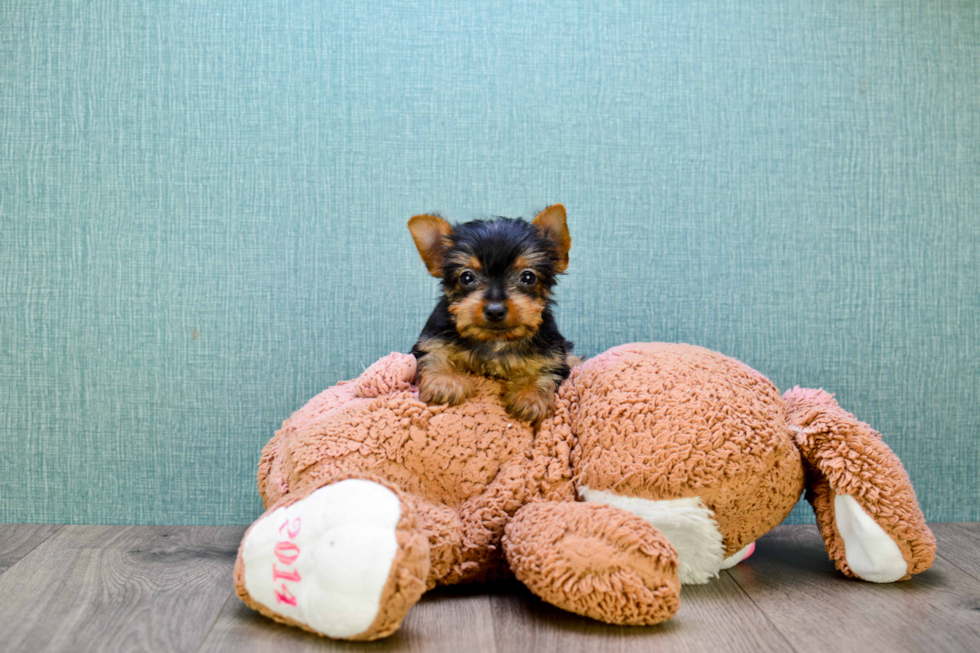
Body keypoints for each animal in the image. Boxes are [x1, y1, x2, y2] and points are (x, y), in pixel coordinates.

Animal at [408, 205, 576, 428]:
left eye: (528, 277)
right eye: (466, 277)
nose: (495, 310)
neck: (495, 340)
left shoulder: (552, 356)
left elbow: (544, 373)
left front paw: (530, 396)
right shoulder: (431, 340)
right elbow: (434, 355)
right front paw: (444, 382)